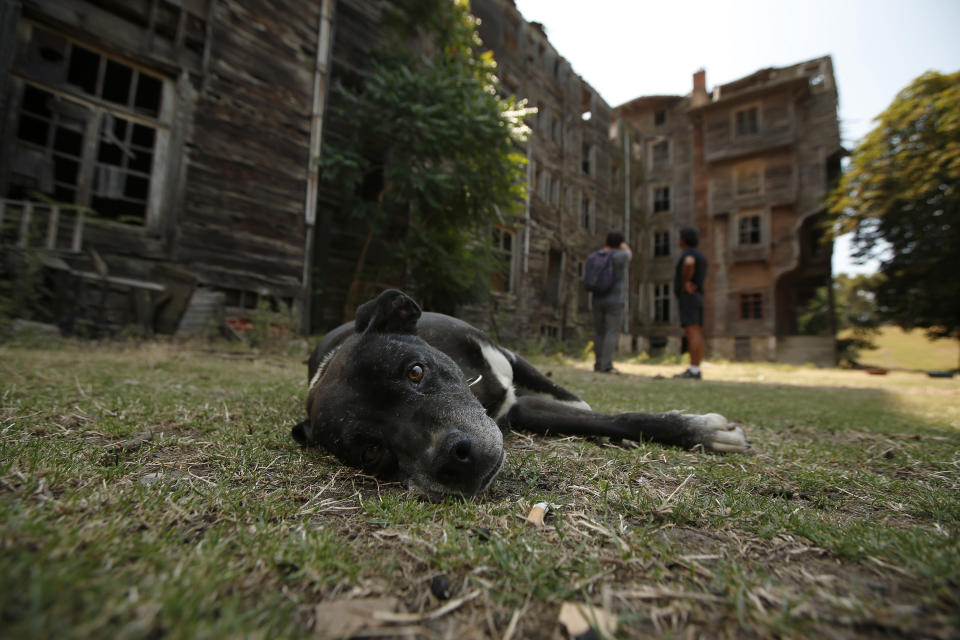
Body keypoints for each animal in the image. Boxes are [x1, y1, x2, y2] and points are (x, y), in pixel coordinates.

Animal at [294, 288, 752, 498]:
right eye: (371, 451)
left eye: (415, 371)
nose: (454, 460)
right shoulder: (521, 412)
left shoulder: (512, 363)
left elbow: (607, 414)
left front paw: (700, 431)